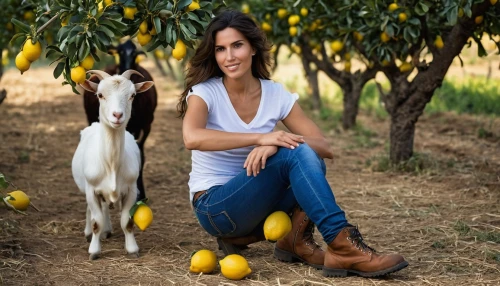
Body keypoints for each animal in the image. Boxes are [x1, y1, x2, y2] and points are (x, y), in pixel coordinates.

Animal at [72, 69, 154, 260]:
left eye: (132, 95)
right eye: (100, 95)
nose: (117, 115)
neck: (111, 165)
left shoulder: (131, 189)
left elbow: (127, 222)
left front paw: (132, 249)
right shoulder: (92, 189)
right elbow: (96, 221)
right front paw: (94, 251)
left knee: (105, 207)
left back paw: (107, 230)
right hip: (86, 187)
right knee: (93, 210)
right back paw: (89, 232)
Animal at [82, 39, 157, 201]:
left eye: (134, 53)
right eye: (120, 52)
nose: (117, 115)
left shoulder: (146, 127)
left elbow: (141, 157)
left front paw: (141, 195)